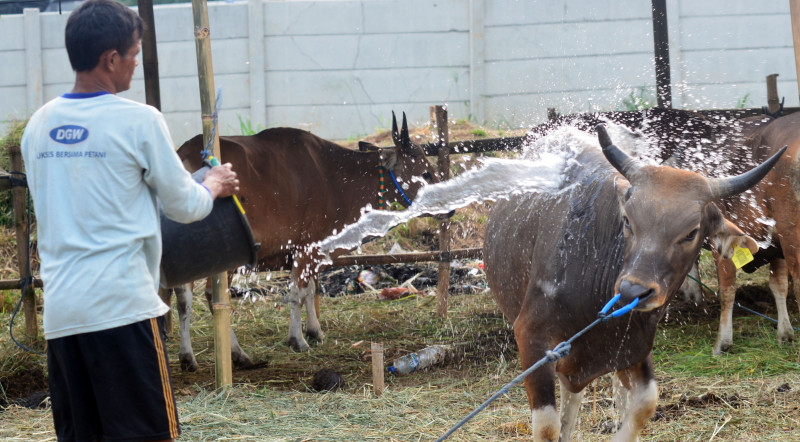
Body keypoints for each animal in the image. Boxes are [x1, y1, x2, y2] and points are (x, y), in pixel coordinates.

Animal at [171, 113, 440, 370]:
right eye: (426, 172)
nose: (446, 208)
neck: (340, 178)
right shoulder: (308, 248)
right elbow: (298, 293)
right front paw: (297, 340)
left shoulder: (313, 250)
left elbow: (311, 290)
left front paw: (315, 332)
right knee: (213, 297)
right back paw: (238, 354)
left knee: (184, 298)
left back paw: (188, 357)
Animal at [482, 123, 780, 438]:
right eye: (627, 220)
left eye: (691, 232)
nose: (632, 290)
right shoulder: (531, 339)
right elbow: (548, 427)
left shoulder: (634, 346)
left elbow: (644, 404)